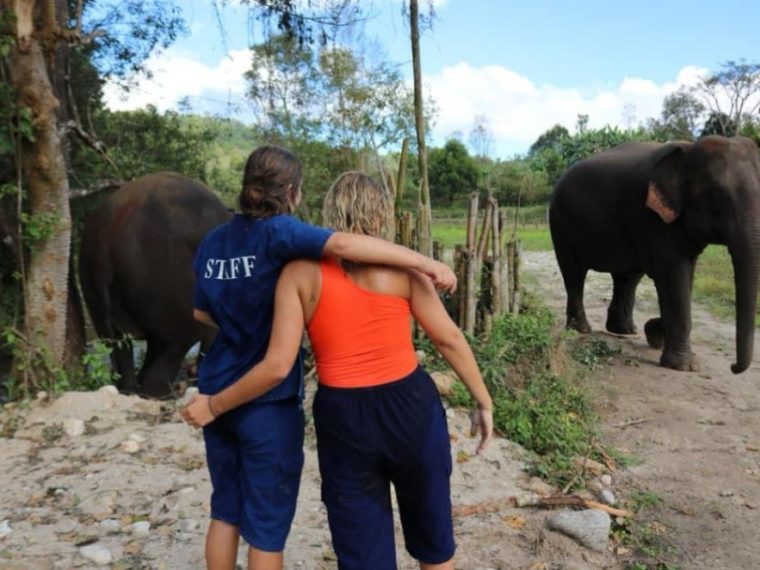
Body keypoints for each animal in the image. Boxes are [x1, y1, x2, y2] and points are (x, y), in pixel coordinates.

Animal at [79, 171, 232, 398]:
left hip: (94, 278)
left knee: (118, 340)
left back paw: (129, 389)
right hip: (167, 277)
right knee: (174, 340)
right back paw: (160, 392)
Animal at [548, 134, 760, 372]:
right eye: (715, 197)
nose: (733, 367)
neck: (689, 150)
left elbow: (685, 275)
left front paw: (655, 333)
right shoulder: (652, 219)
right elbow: (674, 274)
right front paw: (683, 365)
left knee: (627, 277)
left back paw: (625, 330)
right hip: (560, 222)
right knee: (574, 273)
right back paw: (581, 330)